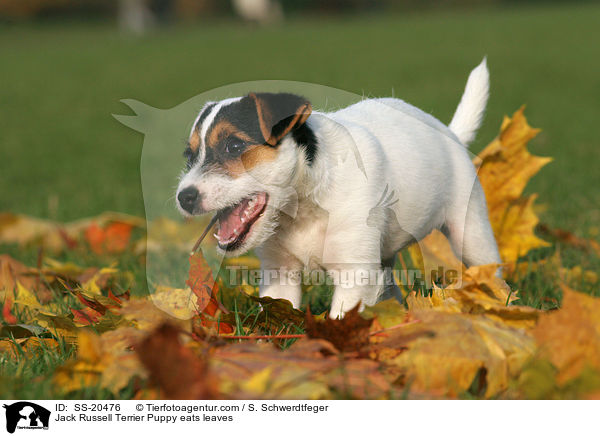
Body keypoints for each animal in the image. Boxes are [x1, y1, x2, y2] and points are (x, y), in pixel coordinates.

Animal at [176, 58, 500, 316]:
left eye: (233, 146)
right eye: (189, 156)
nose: (184, 197)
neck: (303, 206)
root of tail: (449, 133)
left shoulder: (354, 274)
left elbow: (340, 320)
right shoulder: (280, 273)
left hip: (472, 234)